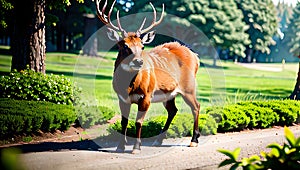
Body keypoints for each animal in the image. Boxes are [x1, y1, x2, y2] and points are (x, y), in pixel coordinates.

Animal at [95, 0, 200, 154]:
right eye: (124, 46)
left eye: (142, 46)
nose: (139, 61)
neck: (128, 87)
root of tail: (195, 56)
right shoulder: (121, 98)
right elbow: (124, 121)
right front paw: (120, 146)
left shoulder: (147, 95)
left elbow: (138, 122)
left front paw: (136, 148)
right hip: (169, 93)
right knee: (173, 110)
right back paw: (158, 140)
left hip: (189, 88)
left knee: (196, 107)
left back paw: (194, 140)